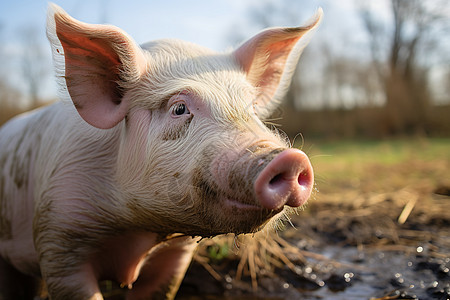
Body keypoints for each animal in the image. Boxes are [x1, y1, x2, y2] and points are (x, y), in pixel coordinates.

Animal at [0, 4, 320, 300]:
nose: (289, 158)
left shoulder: (177, 254)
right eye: (178, 108)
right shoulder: (58, 236)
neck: (138, 229)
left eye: (252, 108)